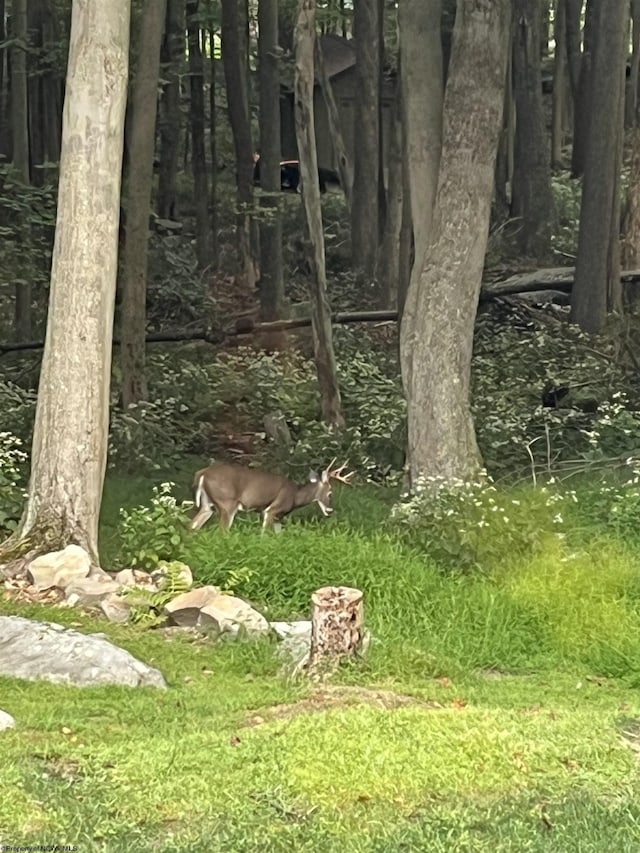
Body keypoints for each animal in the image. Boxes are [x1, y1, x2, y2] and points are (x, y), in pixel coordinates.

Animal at [190, 460, 352, 532]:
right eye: (330, 493)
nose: (330, 510)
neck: (295, 496)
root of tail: (202, 473)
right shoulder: (272, 510)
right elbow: (264, 534)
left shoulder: (279, 517)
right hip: (227, 503)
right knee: (222, 531)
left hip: (207, 504)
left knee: (193, 525)